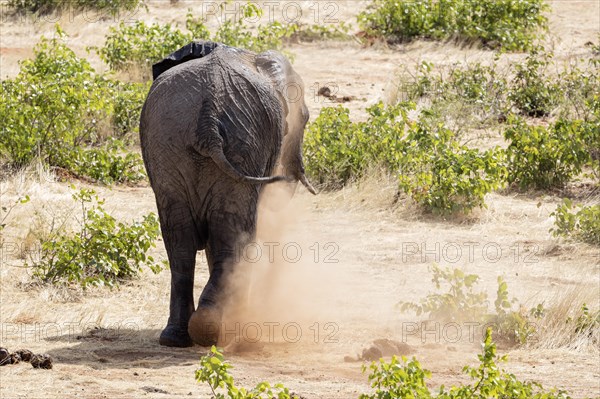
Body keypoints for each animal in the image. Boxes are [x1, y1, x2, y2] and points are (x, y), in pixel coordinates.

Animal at [139, 40, 316, 346]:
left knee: (179, 240)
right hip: (244, 143)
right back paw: (226, 330)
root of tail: (207, 121)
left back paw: (178, 337)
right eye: (304, 119)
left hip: (170, 144)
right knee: (235, 234)